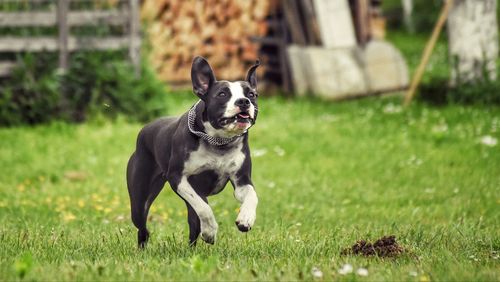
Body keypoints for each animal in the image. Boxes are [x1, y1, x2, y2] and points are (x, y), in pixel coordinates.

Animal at [127, 55, 260, 247]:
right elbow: (204, 208)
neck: (218, 142)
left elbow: (252, 196)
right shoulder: (178, 179)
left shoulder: (242, 181)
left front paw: (246, 219)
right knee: (142, 226)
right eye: (222, 94)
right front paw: (210, 231)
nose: (243, 101)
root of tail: (146, 128)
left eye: (251, 94)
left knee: (193, 224)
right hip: (139, 200)